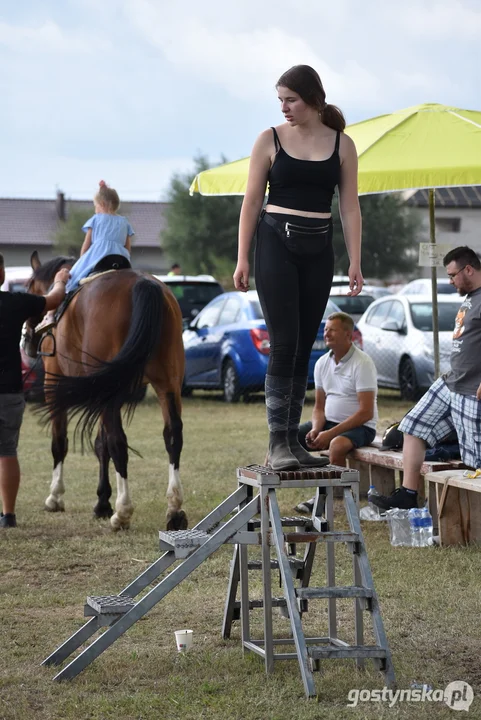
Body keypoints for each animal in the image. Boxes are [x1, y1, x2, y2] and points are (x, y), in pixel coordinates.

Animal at [23, 252, 186, 528]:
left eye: (29, 288)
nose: (26, 339)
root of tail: (145, 284)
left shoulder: (55, 385)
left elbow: (60, 442)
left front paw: (55, 497)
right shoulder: (101, 391)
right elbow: (101, 445)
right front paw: (102, 502)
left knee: (119, 442)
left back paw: (122, 512)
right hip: (168, 384)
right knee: (172, 435)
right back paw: (174, 510)